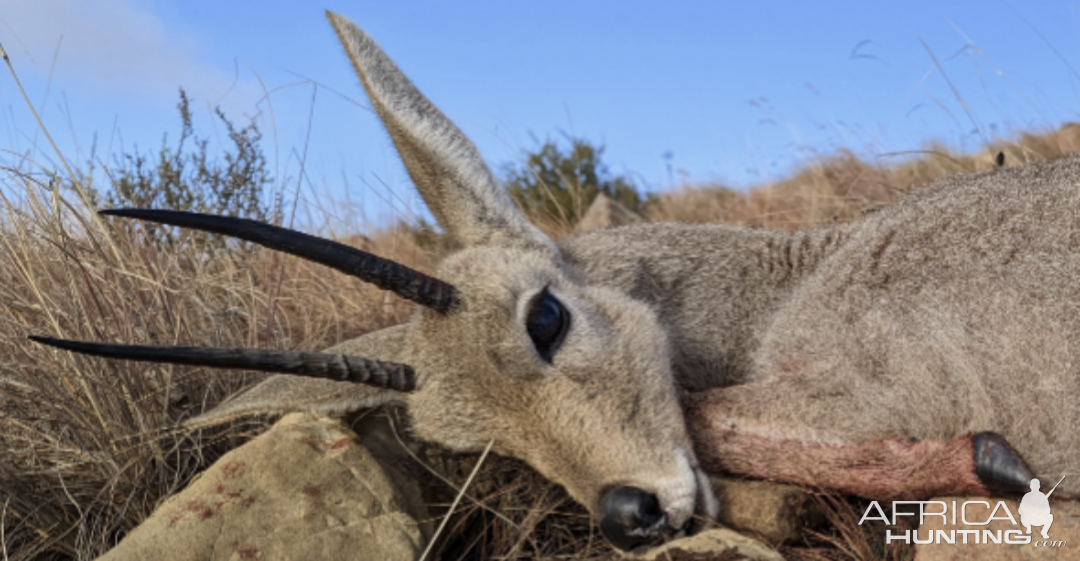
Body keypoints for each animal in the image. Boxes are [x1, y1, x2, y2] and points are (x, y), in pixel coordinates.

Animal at [27, 10, 1080, 553]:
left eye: (545, 316)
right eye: (469, 442)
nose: (628, 513)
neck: (793, 272)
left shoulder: (882, 390)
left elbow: (713, 415)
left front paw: (996, 460)